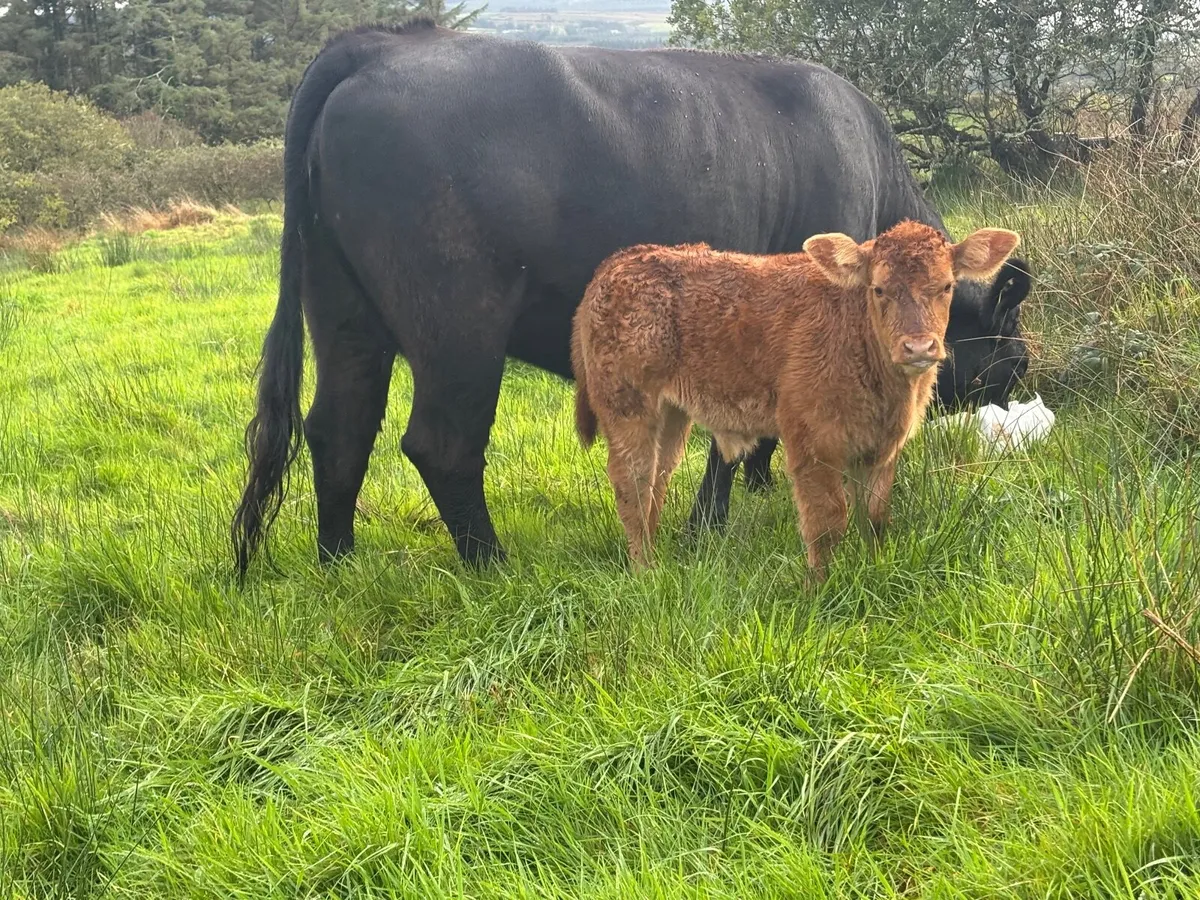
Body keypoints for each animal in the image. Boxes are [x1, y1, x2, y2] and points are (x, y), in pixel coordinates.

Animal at [571, 221, 1021, 576]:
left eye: (946, 286)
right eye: (879, 289)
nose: (919, 347)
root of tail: (619, 262)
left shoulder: (880, 449)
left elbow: (875, 517)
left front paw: (875, 567)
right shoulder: (813, 442)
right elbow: (827, 520)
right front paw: (819, 587)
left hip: (671, 414)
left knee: (657, 479)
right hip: (628, 408)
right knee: (632, 482)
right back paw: (644, 570)